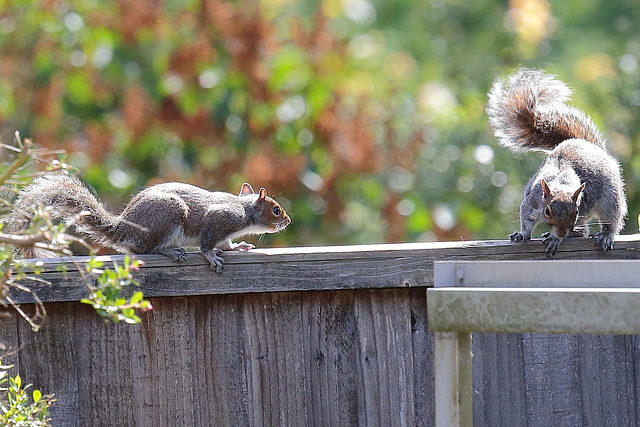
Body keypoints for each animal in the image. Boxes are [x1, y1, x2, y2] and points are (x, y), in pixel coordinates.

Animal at [10, 173, 292, 270]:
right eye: (276, 210)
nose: (288, 221)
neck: (244, 210)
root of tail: (122, 227)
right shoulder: (219, 220)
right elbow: (207, 244)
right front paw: (211, 257)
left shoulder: (224, 234)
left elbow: (226, 245)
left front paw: (240, 247)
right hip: (168, 217)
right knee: (147, 248)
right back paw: (172, 252)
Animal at [488, 69, 628, 258]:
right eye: (547, 211)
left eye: (575, 212)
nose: (561, 232)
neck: (560, 183)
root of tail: (589, 146)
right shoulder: (532, 200)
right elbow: (527, 218)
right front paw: (522, 234)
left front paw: (556, 239)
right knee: (584, 230)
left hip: (610, 197)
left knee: (610, 220)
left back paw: (604, 236)